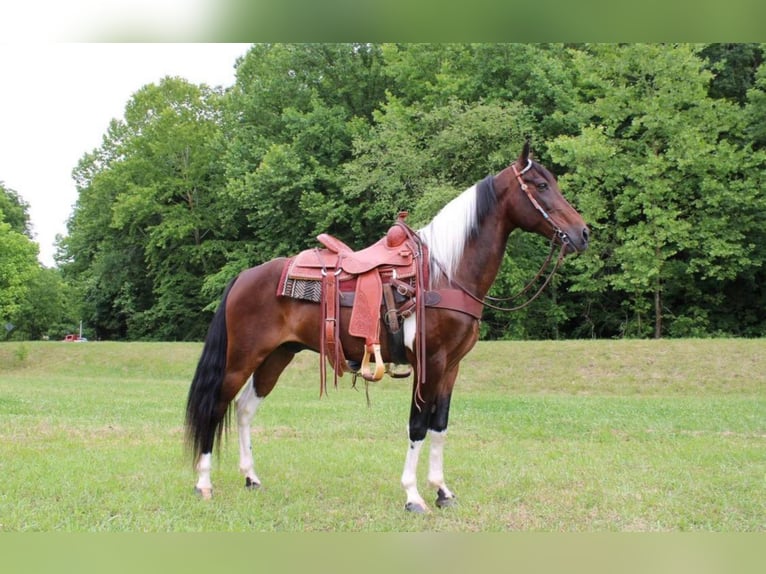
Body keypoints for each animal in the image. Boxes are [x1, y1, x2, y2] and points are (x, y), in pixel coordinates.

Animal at [184, 142, 588, 516]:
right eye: (541, 185)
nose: (582, 233)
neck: (444, 274)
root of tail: (243, 277)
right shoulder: (430, 364)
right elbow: (417, 426)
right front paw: (413, 496)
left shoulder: (452, 367)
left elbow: (440, 426)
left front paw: (443, 491)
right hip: (242, 358)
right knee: (216, 406)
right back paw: (203, 483)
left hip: (276, 357)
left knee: (244, 409)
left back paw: (251, 478)